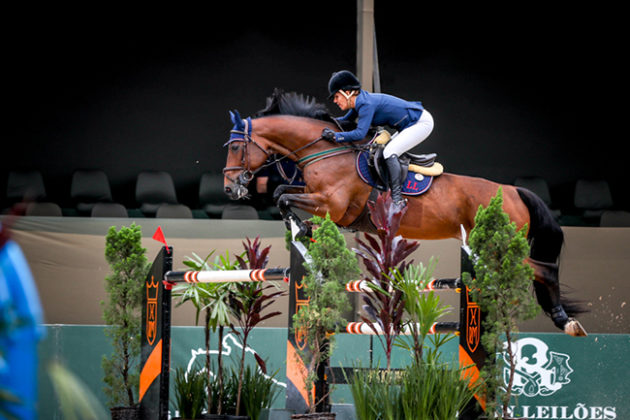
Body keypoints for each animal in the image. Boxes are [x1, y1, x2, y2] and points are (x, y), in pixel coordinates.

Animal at [225, 90, 592, 336]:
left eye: (236, 147)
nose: (231, 189)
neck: (324, 151)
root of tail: (514, 191)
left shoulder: (333, 205)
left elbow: (284, 196)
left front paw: (301, 229)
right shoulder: (321, 201)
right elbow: (282, 195)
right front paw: (302, 231)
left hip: (496, 248)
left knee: (543, 270)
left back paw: (565, 320)